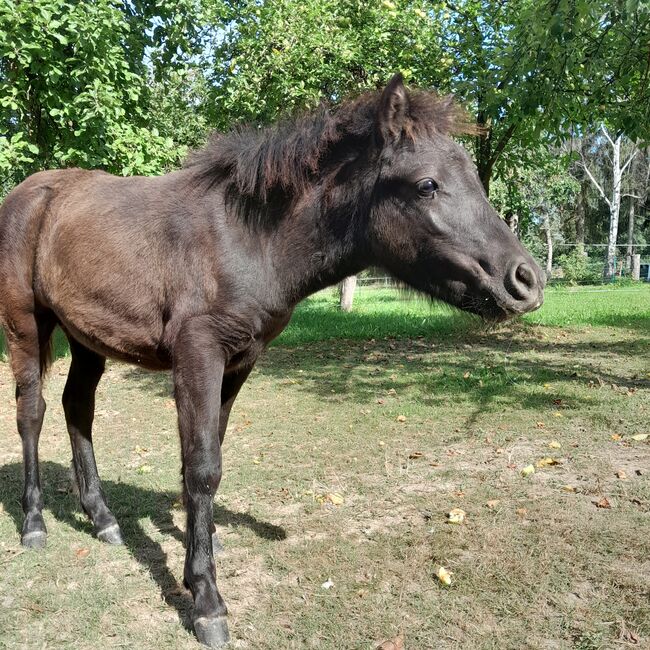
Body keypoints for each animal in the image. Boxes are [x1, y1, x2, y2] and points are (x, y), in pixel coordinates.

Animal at [0, 74, 540, 644]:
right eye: (427, 185)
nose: (526, 280)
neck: (249, 239)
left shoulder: (240, 362)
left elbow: (207, 456)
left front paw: (201, 552)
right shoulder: (198, 356)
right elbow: (202, 467)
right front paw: (207, 600)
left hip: (88, 338)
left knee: (77, 407)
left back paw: (102, 518)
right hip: (25, 327)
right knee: (31, 412)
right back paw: (34, 523)